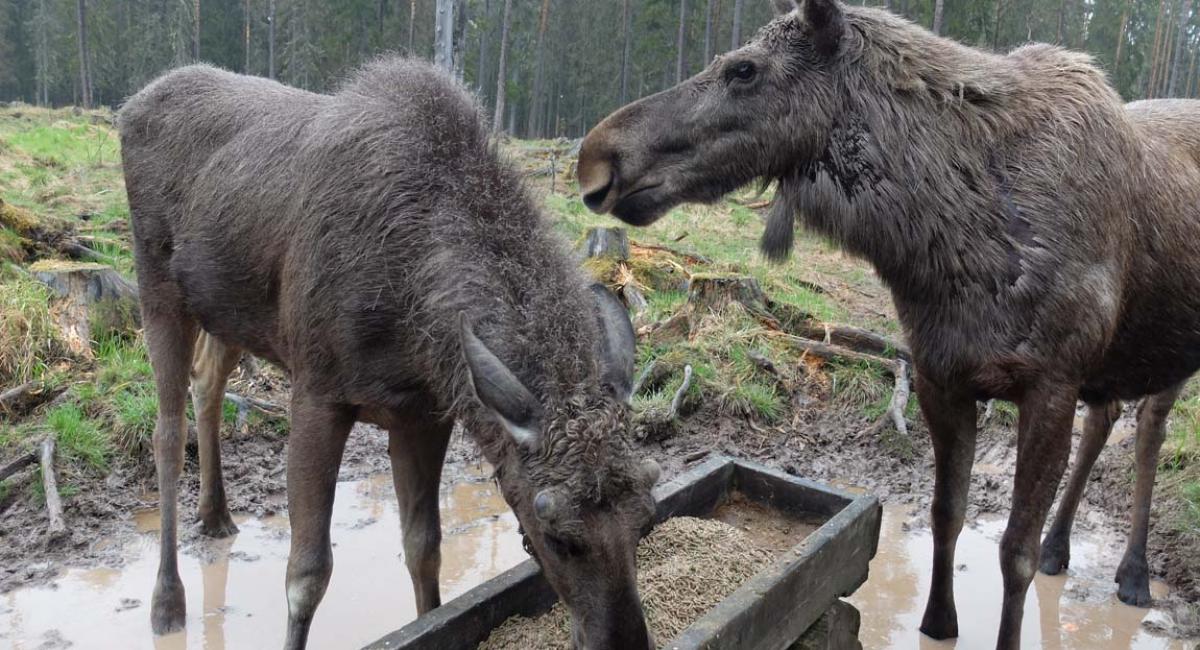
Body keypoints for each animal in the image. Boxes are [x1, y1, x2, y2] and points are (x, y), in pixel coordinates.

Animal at [118, 58, 662, 647]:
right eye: (556, 532)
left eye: (647, 514)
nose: (627, 642)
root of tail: (130, 105)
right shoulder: (317, 393)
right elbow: (307, 574)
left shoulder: (422, 413)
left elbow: (424, 549)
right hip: (157, 287)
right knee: (167, 434)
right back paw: (167, 600)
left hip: (226, 309)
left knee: (207, 382)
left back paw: (216, 515)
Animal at [576, 2, 1200, 647]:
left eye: (744, 69)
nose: (596, 156)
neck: (947, 248)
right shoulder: (940, 374)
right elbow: (945, 513)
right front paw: (938, 621)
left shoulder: (1050, 383)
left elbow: (1013, 554)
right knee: (1107, 418)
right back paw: (1063, 548)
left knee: (1149, 432)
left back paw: (1134, 574)